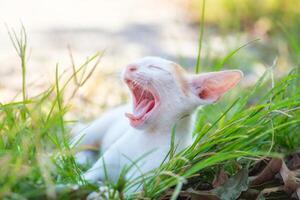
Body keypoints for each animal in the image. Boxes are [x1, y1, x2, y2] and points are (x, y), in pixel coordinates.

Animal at [71, 56, 243, 186]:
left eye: (155, 67)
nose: (129, 66)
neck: (149, 136)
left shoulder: (149, 178)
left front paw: (99, 191)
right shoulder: (104, 166)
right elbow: (84, 179)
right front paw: (71, 186)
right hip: (96, 128)